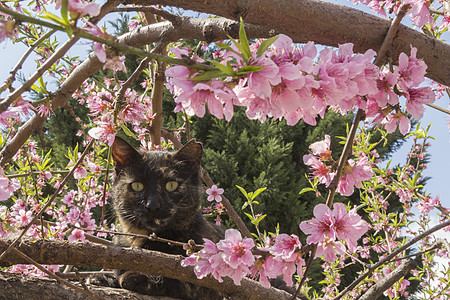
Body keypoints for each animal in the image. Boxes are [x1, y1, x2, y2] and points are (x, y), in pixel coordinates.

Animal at [110, 137, 225, 298]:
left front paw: (134, 277)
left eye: (171, 185)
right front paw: (104, 278)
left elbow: (177, 279)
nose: (152, 205)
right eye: (137, 185)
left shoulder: (208, 286)